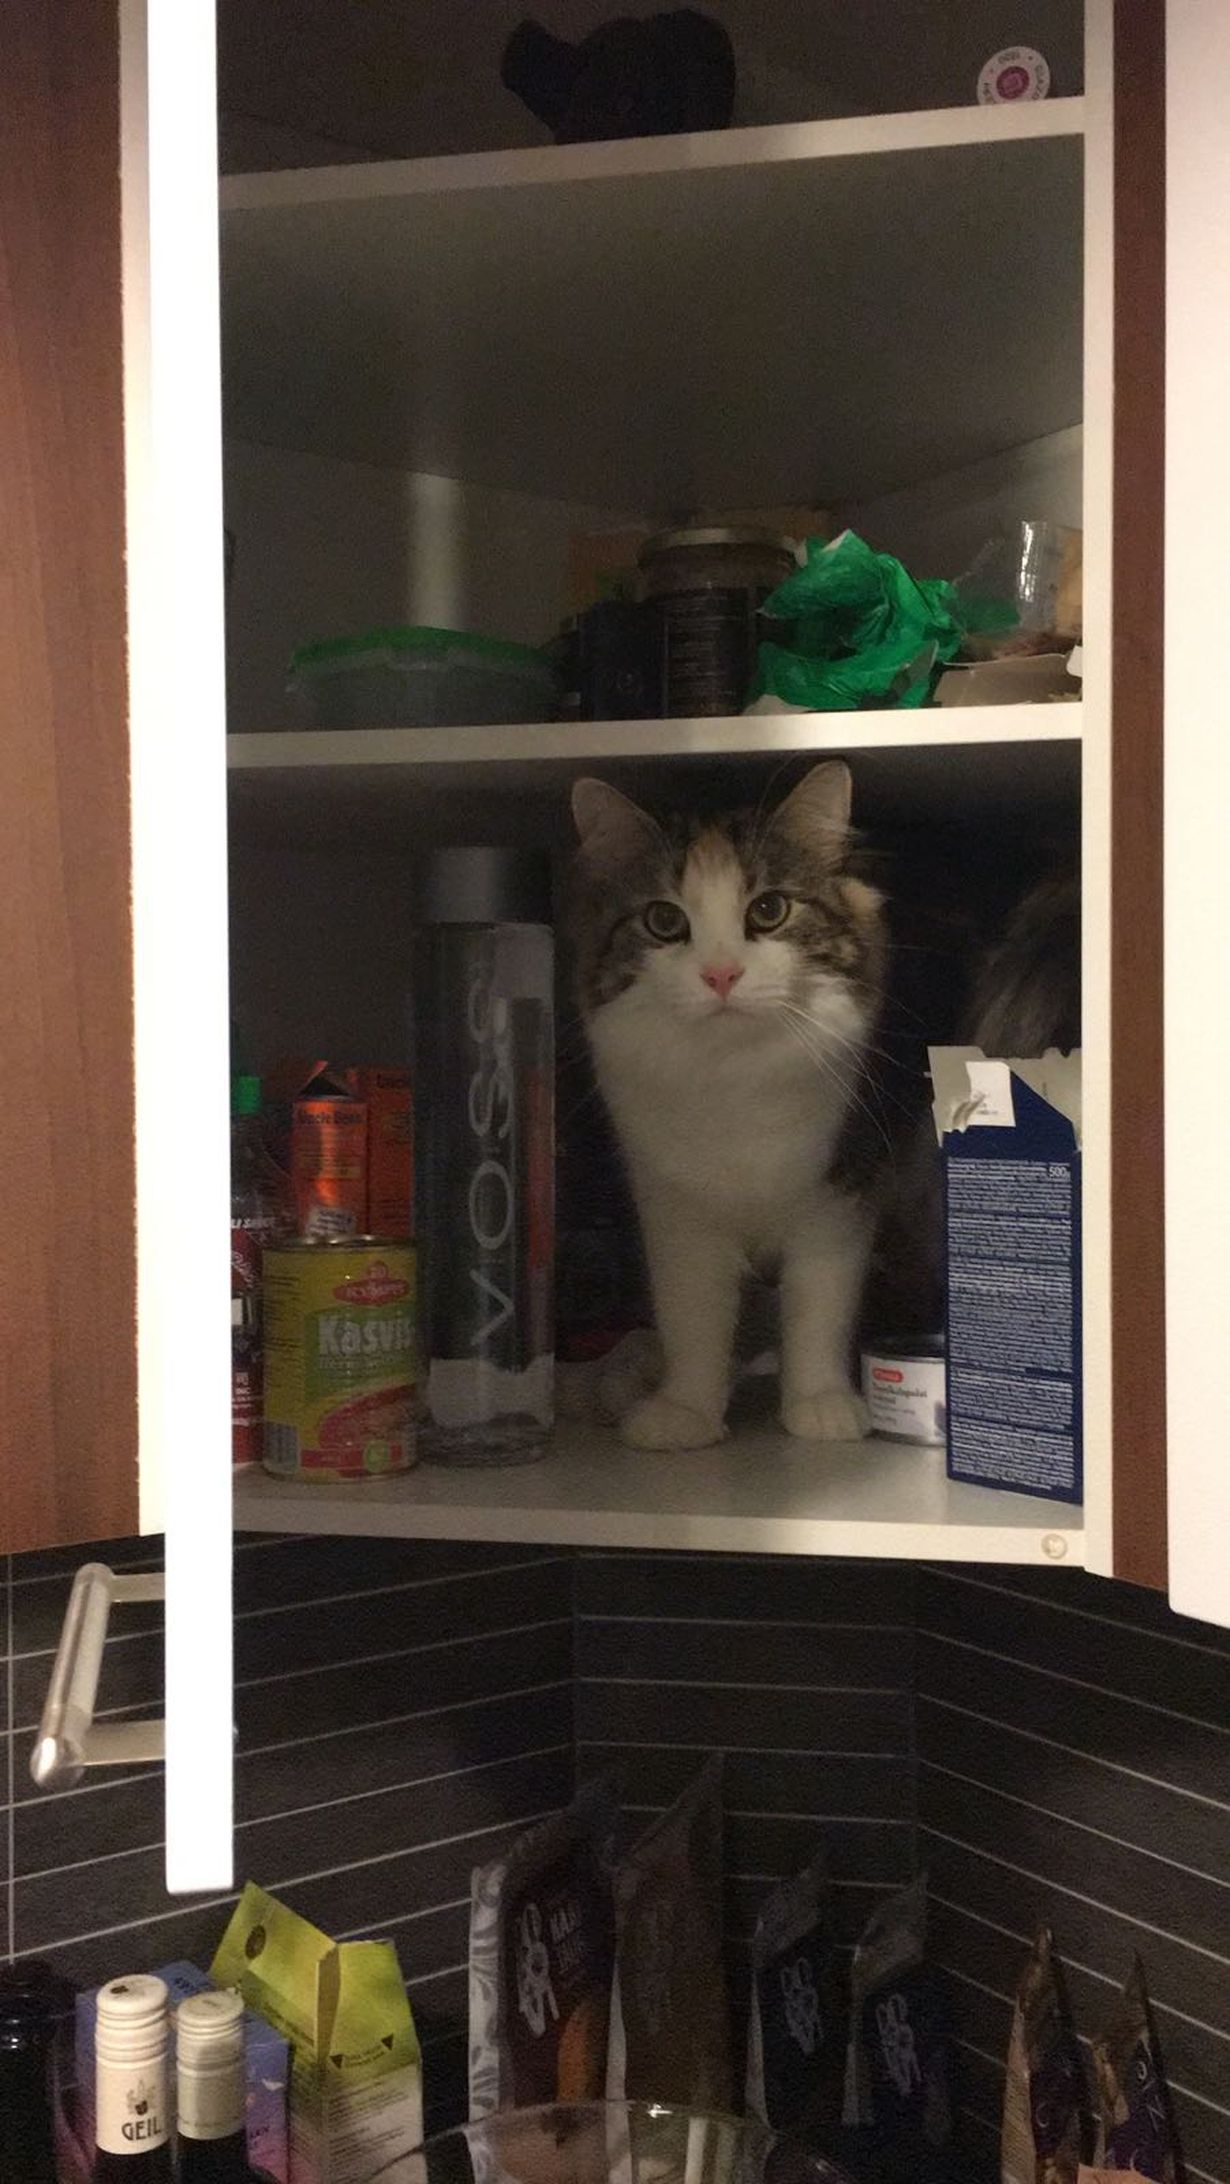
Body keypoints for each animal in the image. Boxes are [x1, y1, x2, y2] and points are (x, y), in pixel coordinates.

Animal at [568, 760, 891, 1451]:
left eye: (768, 910)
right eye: (664, 921)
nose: (720, 975)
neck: (735, 1078)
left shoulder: (837, 1198)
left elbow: (820, 1306)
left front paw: (820, 1405)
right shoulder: (676, 1210)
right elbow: (692, 1315)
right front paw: (684, 1412)